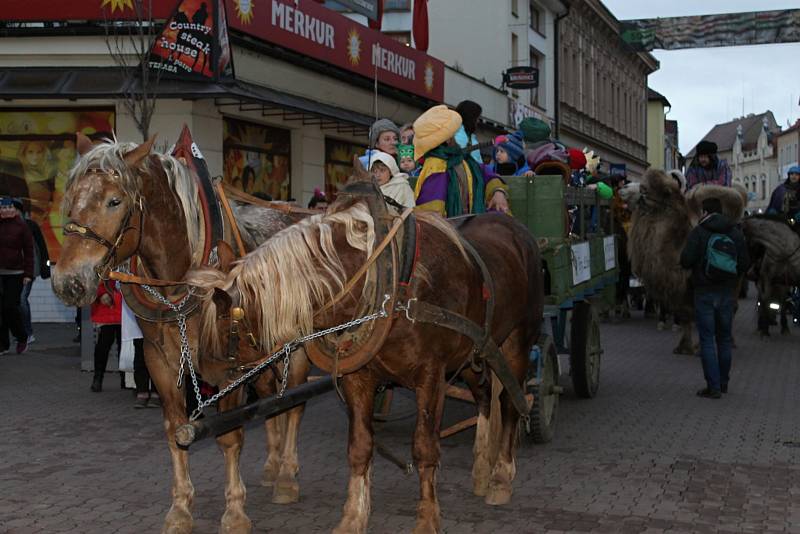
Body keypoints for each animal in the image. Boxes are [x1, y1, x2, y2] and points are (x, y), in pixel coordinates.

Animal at [51, 135, 310, 534]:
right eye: (71, 198)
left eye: (115, 201)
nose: (68, 281)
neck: (181, 277)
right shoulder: (159, 361)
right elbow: (176, 433)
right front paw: (180, 510)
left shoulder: (227, 366)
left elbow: (229, 435)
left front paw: (235, 513)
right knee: (271, 397)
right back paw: (271, 465)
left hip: (294, 347)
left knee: (294, 401)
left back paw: (286, 475)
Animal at [188, 175, 544, 532]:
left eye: (224, 330)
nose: (205, 374)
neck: (391, 284)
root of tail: (516, 228)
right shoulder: (358, 377)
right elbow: (360, 446)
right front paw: (353, 516)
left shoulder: (431, 375)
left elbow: (425, 446)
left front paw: (427, 517)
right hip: (474, 351)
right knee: (483, 397)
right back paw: (482, 469)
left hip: (516, 342)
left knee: (509, 403)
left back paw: (501, 477)